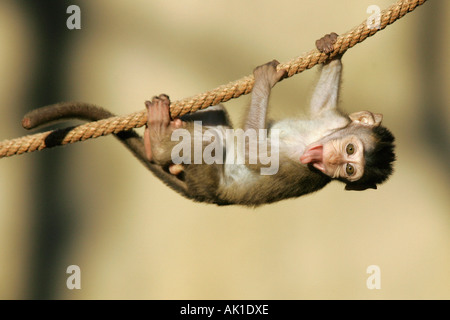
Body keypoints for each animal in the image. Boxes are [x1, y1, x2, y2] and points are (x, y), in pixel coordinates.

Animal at [22, 33, 394, 208]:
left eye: (349, 169)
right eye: (349, 150)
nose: (330, 159)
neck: (313, 143)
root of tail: (204, 194)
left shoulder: (304, 168)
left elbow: (257, 156)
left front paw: (265, 80)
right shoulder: (330, 121)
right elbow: (320, 106)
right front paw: (332, 49)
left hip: (205, 175)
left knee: (208, 145)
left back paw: (159, 144)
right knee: (217, 128)